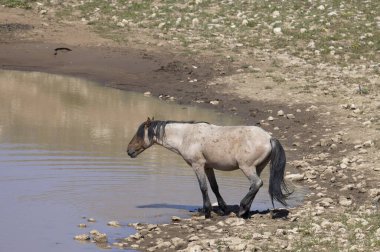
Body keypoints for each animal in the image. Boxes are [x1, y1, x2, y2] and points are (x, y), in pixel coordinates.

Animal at [127, 118, 290, 219]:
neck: (186, 136)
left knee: (256, 183)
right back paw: (245, 211)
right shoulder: (208, 167)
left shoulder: (197, 165)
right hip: (258, 167)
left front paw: (207, 212)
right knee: (254, 186)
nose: (129, 151)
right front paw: (223, 208)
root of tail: (269, 138)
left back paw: (242, 208)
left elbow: (203, 187)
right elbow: (214, 187)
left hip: (247, 167)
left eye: (139, 134)